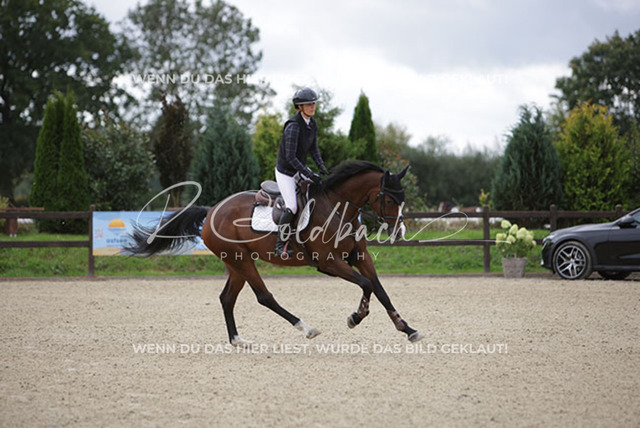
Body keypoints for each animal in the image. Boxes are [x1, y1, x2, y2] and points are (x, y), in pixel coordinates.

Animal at [126, 161, 424, 345]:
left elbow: (379, 289)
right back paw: (306, 328)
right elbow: (366, 285)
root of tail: (212, 211)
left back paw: (238, 341)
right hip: (241, 261)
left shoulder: (359, 257)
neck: (339, 208)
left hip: (237, 263)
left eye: (403, 198)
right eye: (389, 199)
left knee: (227, 298)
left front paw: (407, 329)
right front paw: (356, 317)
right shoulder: (329, 263)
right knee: (264, 296)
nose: (400, 232)